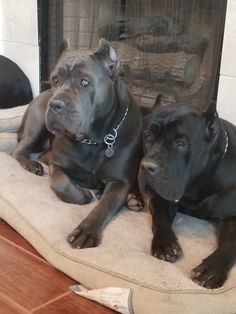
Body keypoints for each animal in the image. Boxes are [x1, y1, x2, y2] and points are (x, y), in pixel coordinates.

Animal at [12, 39, 142, 249]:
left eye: (85, 82)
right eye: (55, 79)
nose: (55, 104)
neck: (94, 139)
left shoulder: (120, 182)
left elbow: (103, 207)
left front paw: (86, 231)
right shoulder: (57, 165)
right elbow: (61, 184)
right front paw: (83, 194)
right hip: (37, 124)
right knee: (19, 150)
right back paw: (32, 164)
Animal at [139, 96, 236, 290]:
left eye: (180, 144)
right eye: (148, 137)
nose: (146, 166)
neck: (196, 185)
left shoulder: (232, 215)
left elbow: (231, 241)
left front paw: (212, 269)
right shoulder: (162, 198)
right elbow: (159, 217)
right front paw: (165, 244)